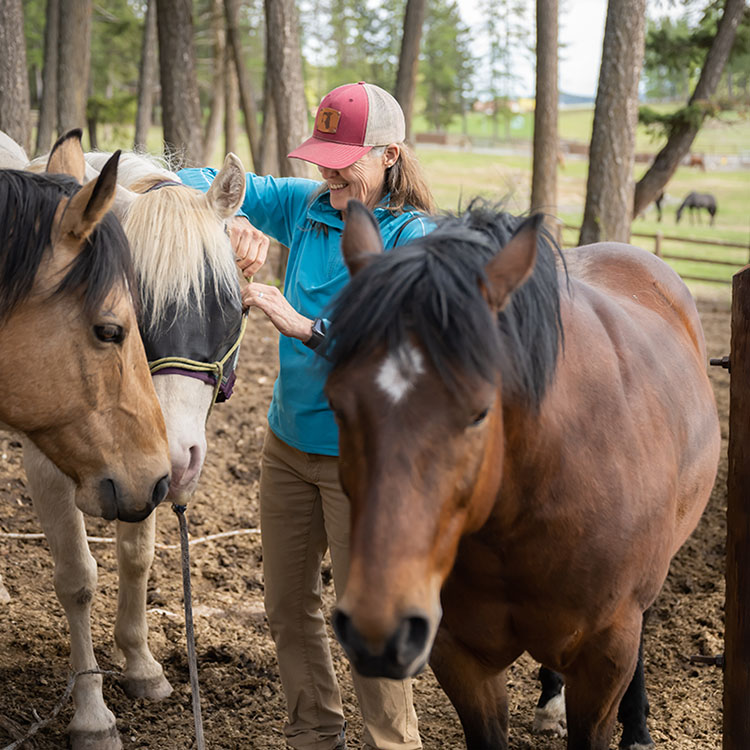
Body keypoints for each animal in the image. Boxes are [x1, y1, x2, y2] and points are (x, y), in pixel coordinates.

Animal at [8, 135, 247, 750]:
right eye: (127, 314)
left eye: (233, 308)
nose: (181, 458)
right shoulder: (50, 467)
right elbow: (77, 580)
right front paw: (92, 713)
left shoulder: (141, 470)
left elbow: (137, 557)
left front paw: (140, 665)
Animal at [324, 200, 724, 750]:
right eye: (337, 405)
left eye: (479, 412)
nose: (377, 629)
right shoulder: (460, 655)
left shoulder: (605, 657)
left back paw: (638, 727)